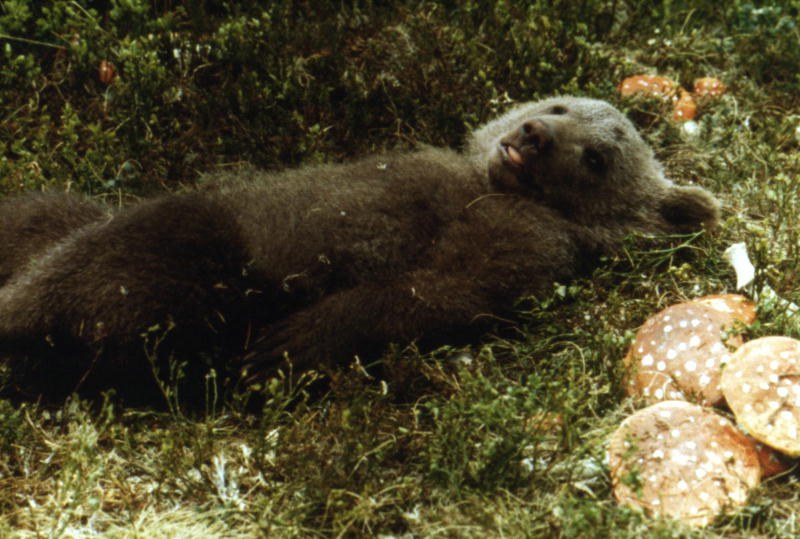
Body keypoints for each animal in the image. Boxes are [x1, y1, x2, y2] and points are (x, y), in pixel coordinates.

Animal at [0, 96, 719, 405]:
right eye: (563, 105)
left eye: (597, 158)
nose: (533, 134)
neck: (486, 184)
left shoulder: (516, 239)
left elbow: (436, 290)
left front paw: (291, 341)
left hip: (200, 261)